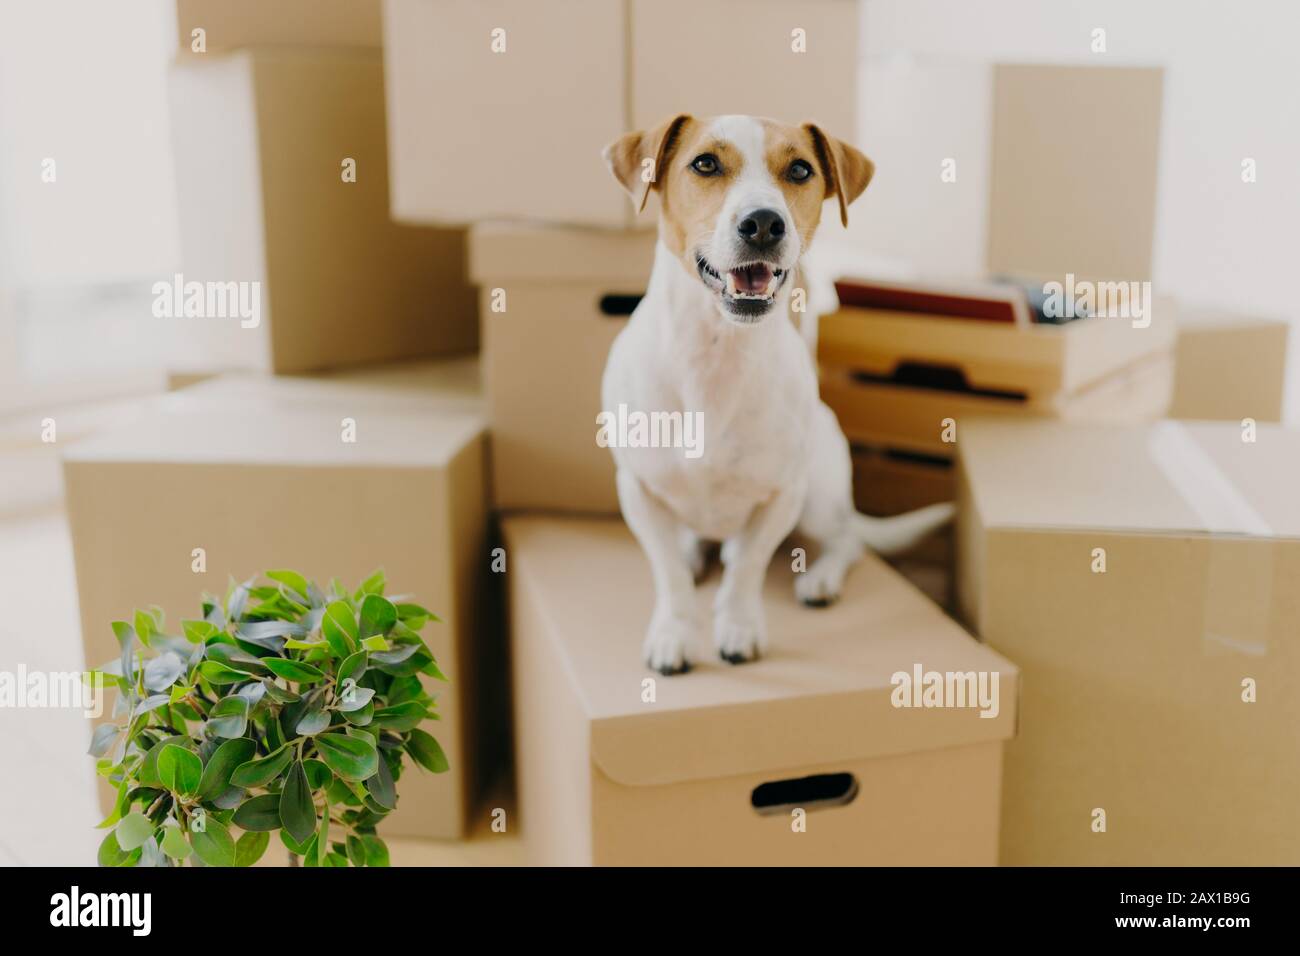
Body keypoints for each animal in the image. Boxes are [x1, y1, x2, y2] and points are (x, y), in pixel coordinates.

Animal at [600, 115, 956, 676]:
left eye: (800, 170)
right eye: (705, 163)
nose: (764, 223)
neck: (716, 351)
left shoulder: (782, 494)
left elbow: (747, 567)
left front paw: (738, 627)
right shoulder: (639, 490)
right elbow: (669, 575)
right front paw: (674, 631)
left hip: (817, 499)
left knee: (847, 541)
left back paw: (821, 577)